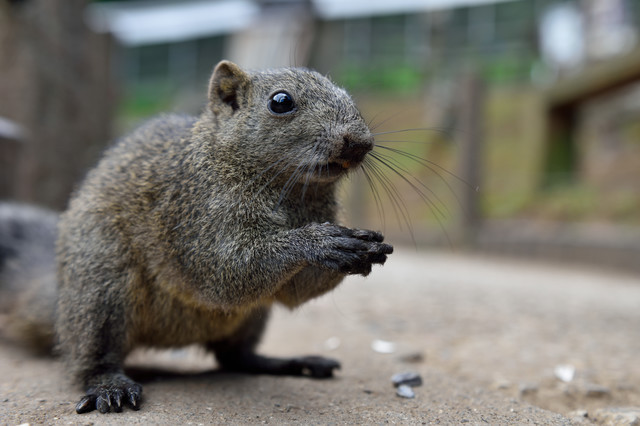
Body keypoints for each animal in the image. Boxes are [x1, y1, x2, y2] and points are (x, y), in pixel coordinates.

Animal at [0, 60, 392, 412]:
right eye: (281, 102)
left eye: (348, 94)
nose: (360, 143)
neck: (292, 192)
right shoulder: (192, 215)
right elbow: (224, 272)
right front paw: (320, 243)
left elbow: (294, 292)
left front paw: (364, 249)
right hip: (99, 282)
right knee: (89, 357)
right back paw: (108, 385)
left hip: (251, 317)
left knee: (234, 358)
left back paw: (288, 363)